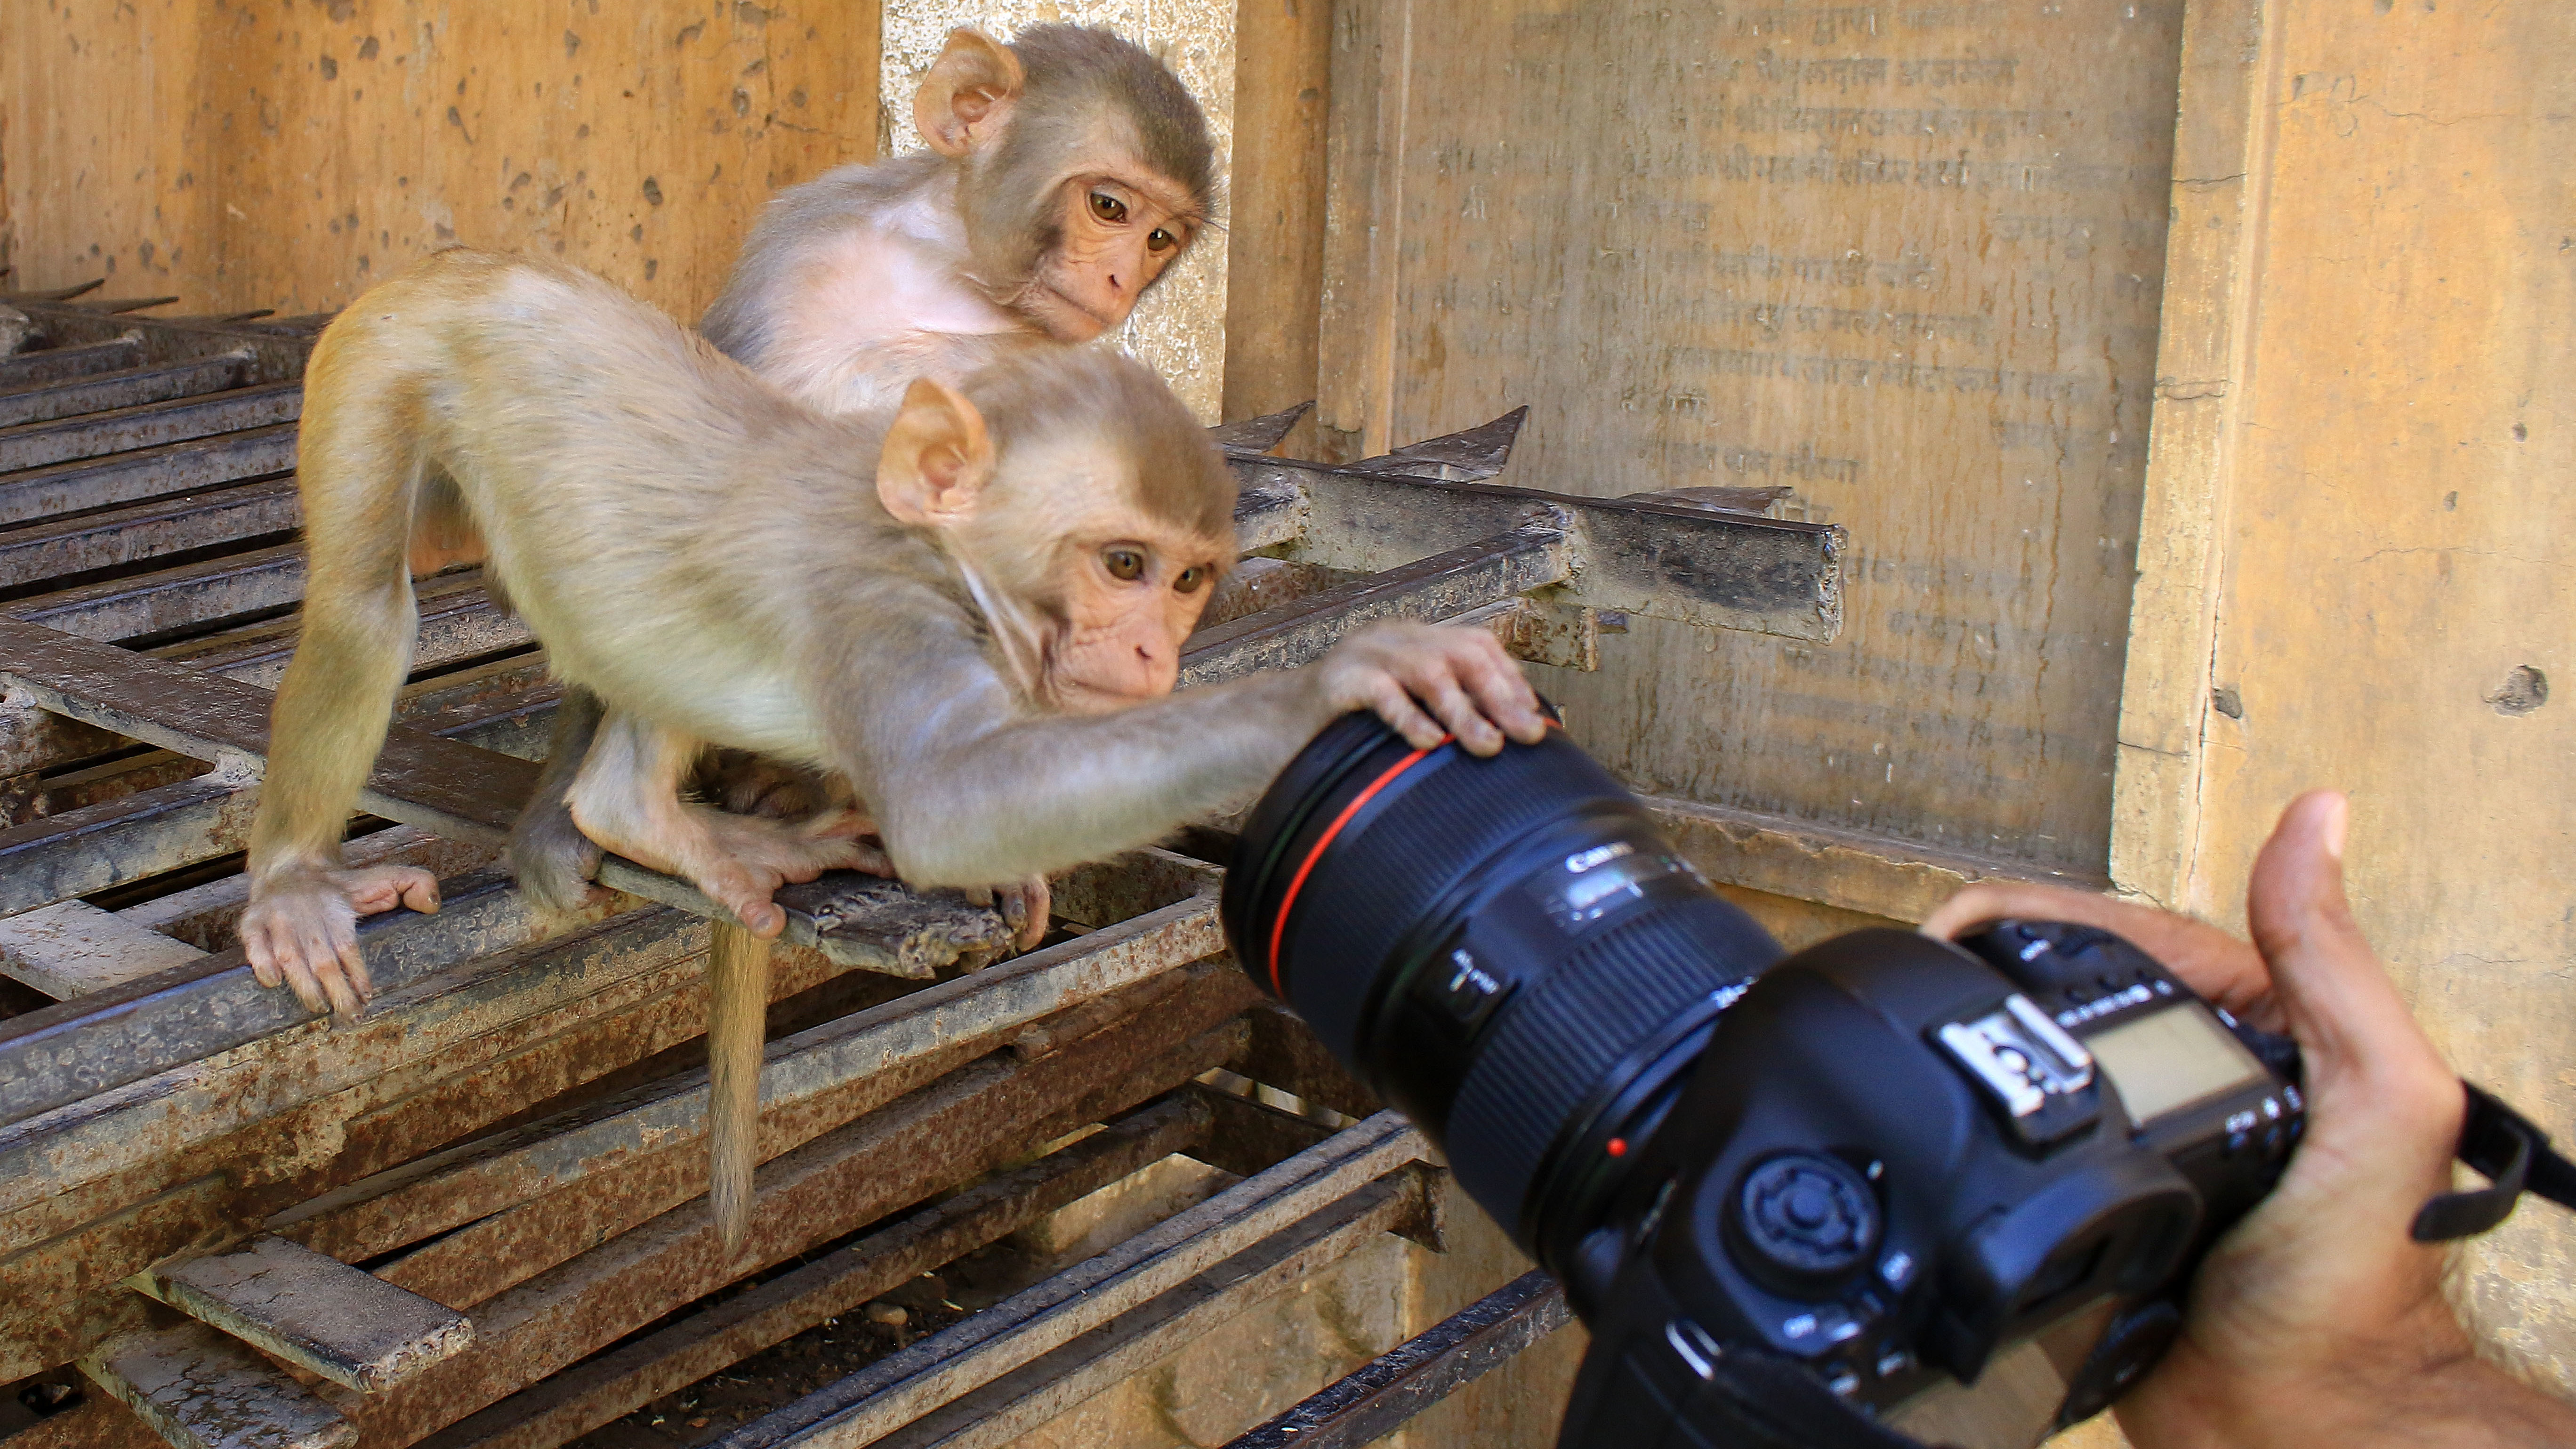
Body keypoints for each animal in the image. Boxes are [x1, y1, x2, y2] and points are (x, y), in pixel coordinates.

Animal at [242, 251, 1535, 1227]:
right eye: (1122, 564)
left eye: (1185, 582)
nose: (1151, 653)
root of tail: (475, 270)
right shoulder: (881, 609)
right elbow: (939, 803)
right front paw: (1325, 691)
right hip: (383, 352)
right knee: (367, 608)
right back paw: (366, 863)